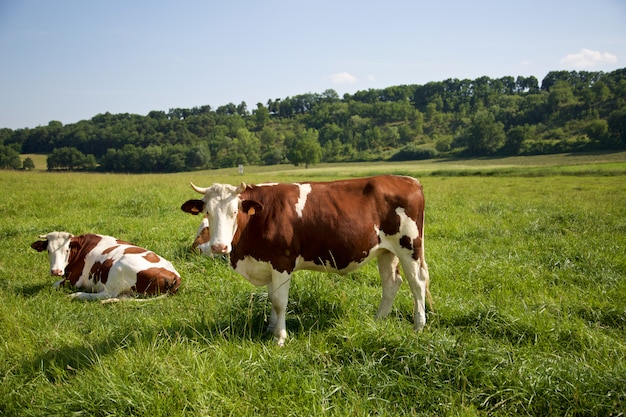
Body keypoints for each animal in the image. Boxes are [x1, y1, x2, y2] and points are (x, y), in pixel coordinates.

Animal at [31, 232, 180, 300]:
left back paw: (76, 295)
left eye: (66, 250)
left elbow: (55, 284)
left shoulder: (74, 280)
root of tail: (174, 274)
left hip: (118, 269)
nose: (56, 271)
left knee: (106, 295)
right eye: (48, 250)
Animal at [180, 173, 428, 344]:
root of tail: (408, 180)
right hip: (386, 251)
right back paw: (378, 321)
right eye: (207, 212)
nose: (219, 246)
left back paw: (418, 326)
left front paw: (280, 337)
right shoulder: (267, 262)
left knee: (417, 284)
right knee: (391, 283)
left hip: (409, 246)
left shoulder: (282, 262)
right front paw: (270, 329)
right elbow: (270, 297)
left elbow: (280, 301)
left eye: (234, 211)